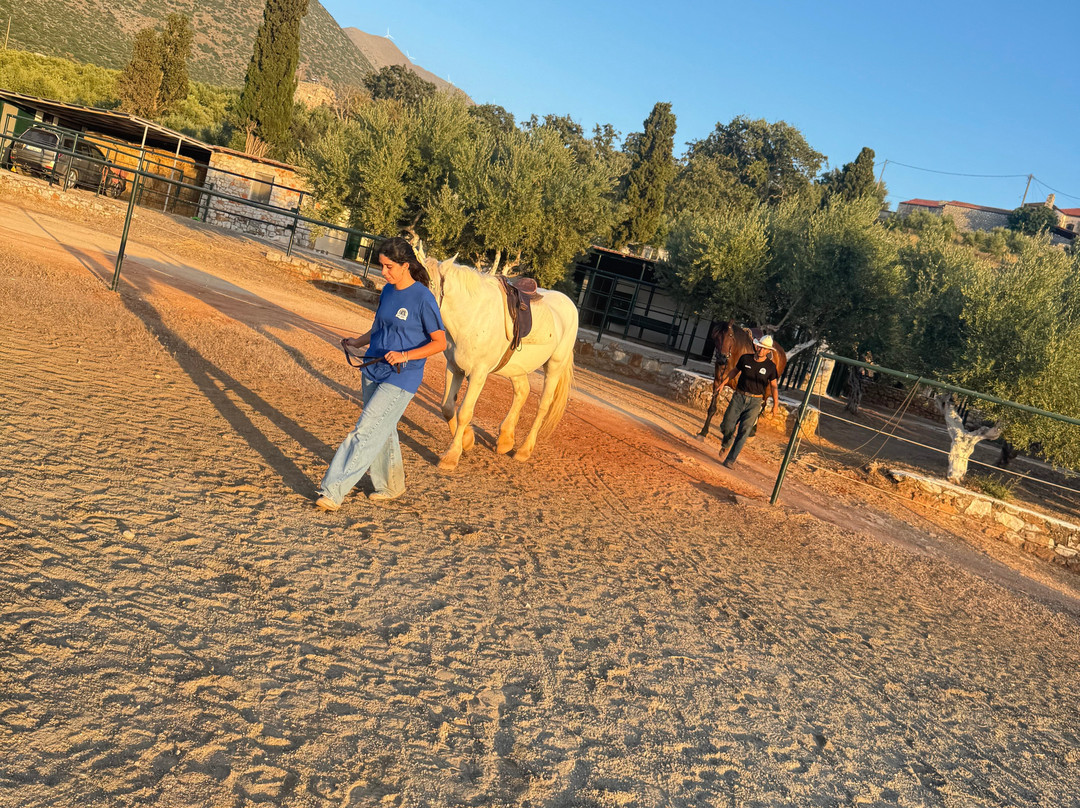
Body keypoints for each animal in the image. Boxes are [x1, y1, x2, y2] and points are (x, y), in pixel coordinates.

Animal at [425, 256, 578, 470]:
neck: (471, 316)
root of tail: (569, 304)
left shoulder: (478, 373)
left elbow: (464, 412)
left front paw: (451, 456)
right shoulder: (454, 367)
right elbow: (447, 408)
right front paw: (467, 440)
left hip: (554, 367)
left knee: (543, 406)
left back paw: (524, 450)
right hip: (516, 368)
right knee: (522, 391)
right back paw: (506, 439)